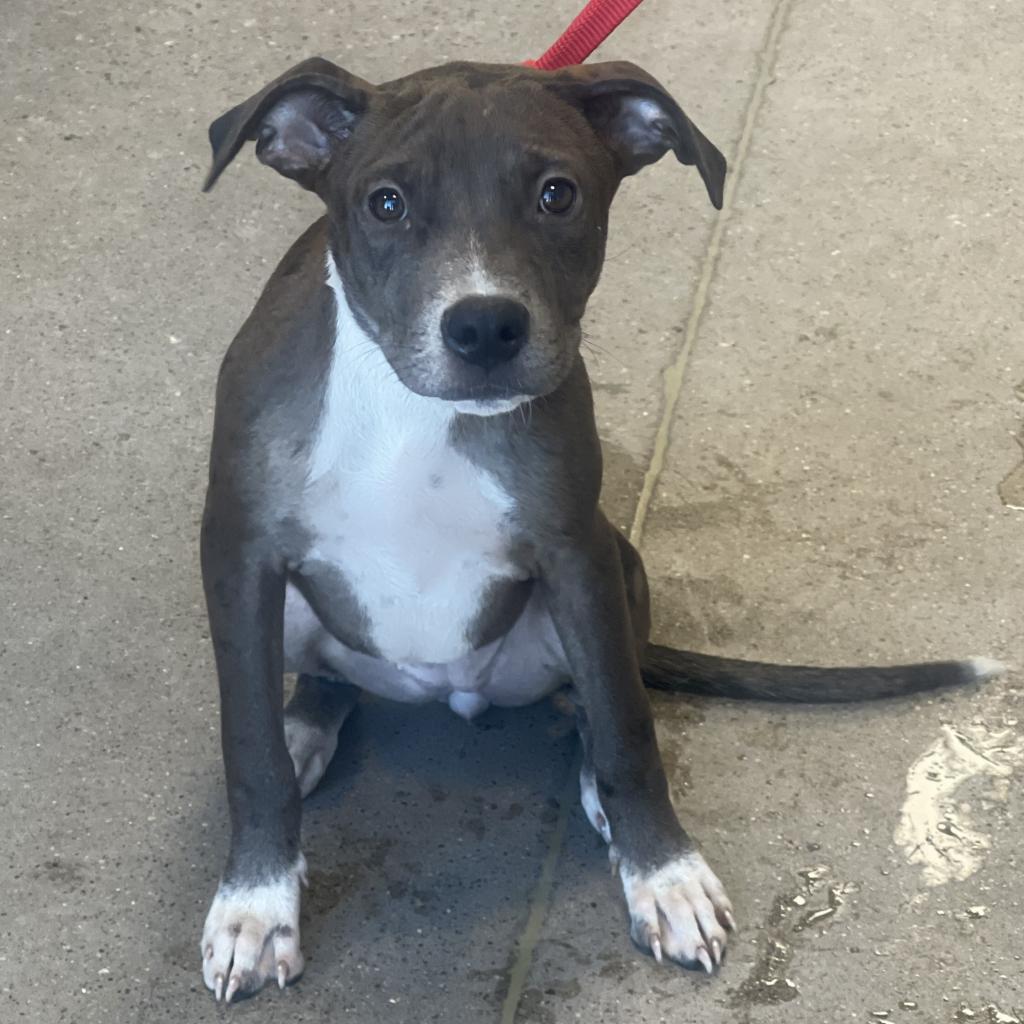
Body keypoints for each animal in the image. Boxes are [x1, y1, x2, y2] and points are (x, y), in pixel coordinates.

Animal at [195, 56, 1003, 999]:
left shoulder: (575, 553)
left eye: (558, 194)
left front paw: (664, 875)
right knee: (317, 684)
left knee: (595, 699)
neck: (408, 410)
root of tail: (447, 689)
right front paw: (256, 903)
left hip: (621, 568)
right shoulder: (239, 552)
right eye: (384, 203)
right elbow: (249, 752)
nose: (485, 327)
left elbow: (625, 725)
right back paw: (305, 725)